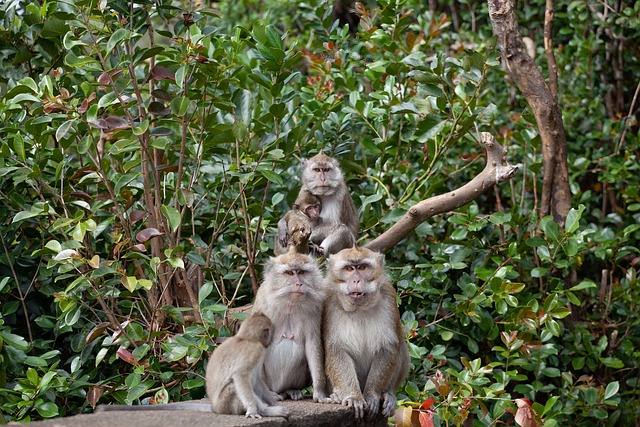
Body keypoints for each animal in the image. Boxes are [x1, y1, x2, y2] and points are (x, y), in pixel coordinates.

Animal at [95, 312, 288, 420]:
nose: (273, 337)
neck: (245, 338)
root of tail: (215, 408)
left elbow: (256, 381)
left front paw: (272, 398)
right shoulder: (254, 351)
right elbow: (241, 377)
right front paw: (255, 410)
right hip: (227, 404)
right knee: (233, 386)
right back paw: (267, 411)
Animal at [251, 249, 328, 402]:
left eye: (301, 272)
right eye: (290, 273)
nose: (299, 284)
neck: (290, 305)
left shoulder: (315, 308)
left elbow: (312, 343)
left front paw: (319, 392)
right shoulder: (263, 306)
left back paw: (291, 390)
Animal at [324, 246, 410, 420]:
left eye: (362, 267)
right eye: (349, 269)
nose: (356, 281)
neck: (359, 309)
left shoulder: (389, 296)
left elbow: (388, 347)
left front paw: (371, 395)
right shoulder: (328, 300)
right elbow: (336, 350)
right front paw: (354, 397)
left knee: (401, 346)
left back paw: (388, 394)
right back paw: (336, 395)